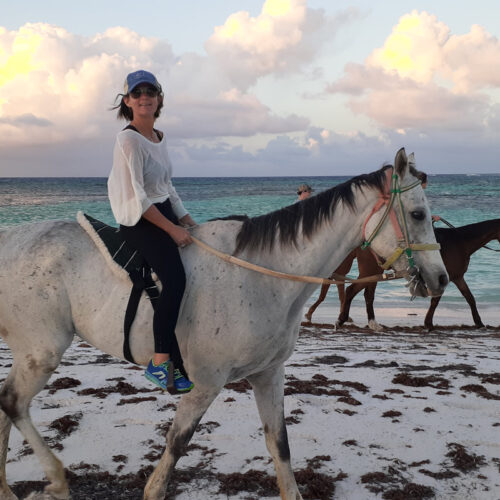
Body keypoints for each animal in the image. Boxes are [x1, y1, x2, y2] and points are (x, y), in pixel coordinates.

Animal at [0, 149, 446, 500]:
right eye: (418, 213)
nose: (441, 279)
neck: (260, 275)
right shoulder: (205, 383)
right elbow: (175, 447)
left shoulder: (268, 375)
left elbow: (280, 445)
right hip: (42, 350)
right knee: (13, 403)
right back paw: (56, 479)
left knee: (6, 404)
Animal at [304, 218, 500, 328]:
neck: (461, 242)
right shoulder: (448, 277)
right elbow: (436, 301)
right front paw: (428, 323)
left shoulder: (458, 277)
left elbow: (470, 298)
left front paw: (479, 322)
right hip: (370, 270)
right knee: (352, 290)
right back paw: (342, 319)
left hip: (375, 271)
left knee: (366, 295)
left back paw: (371, 322)